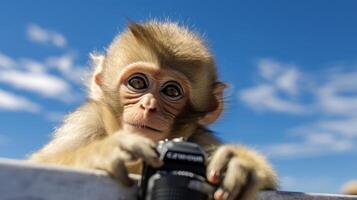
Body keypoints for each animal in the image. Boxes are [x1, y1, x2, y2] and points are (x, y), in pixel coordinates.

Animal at [29, 20, 276, 200]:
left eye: (172, 91)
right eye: (138, 83)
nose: (148, 105)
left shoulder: (201, 137)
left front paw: (239, 163)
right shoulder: (86, 122)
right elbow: (40, 162)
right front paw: (106, 150)